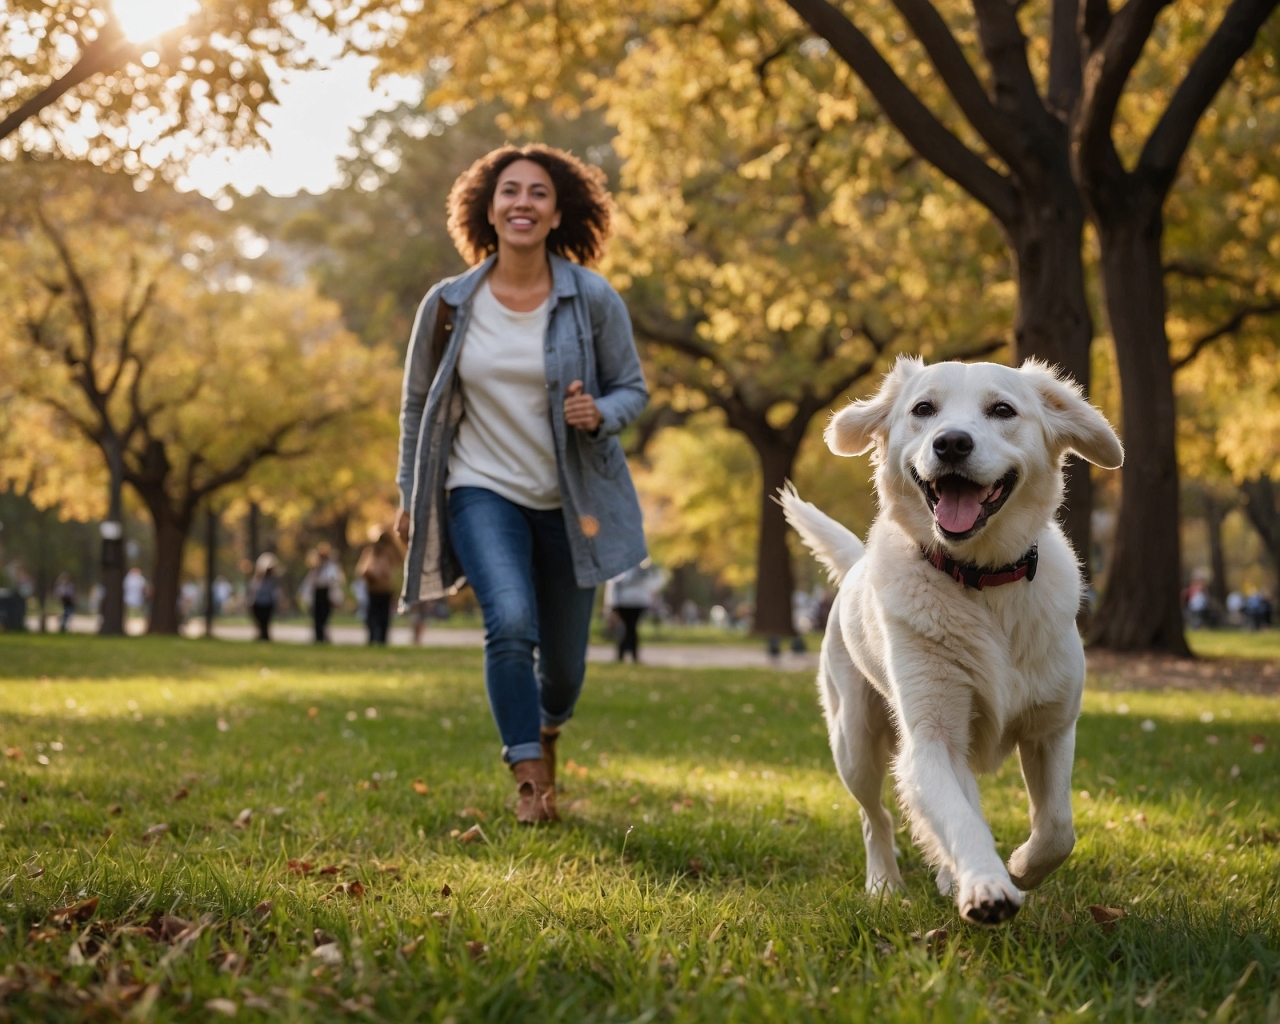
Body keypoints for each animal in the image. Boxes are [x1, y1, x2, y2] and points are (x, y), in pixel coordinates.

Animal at [778, 360, 1121, 926]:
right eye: (924, 409)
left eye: (1002, 409)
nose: (952, 443)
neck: (981, 579)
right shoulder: (931, 738)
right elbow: (960, 820)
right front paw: (988, 886)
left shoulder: (1051, 728)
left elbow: (1057, 829)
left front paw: (1019, 868)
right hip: (855, 743)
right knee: (877, 817)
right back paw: (885, 884)